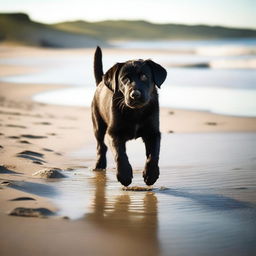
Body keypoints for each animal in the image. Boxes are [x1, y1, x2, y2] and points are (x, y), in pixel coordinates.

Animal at [91, 46, 167, 186]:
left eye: (144, 77)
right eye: (124, 79)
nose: (135, 95)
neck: (135, 112)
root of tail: (100, 82)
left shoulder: (153, 133)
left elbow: (153, 154)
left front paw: (151, 175)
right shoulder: (113, 133)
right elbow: (120, 154)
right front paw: (124, 176)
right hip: (97, 124)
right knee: (101, 145)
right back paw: (99, 165)